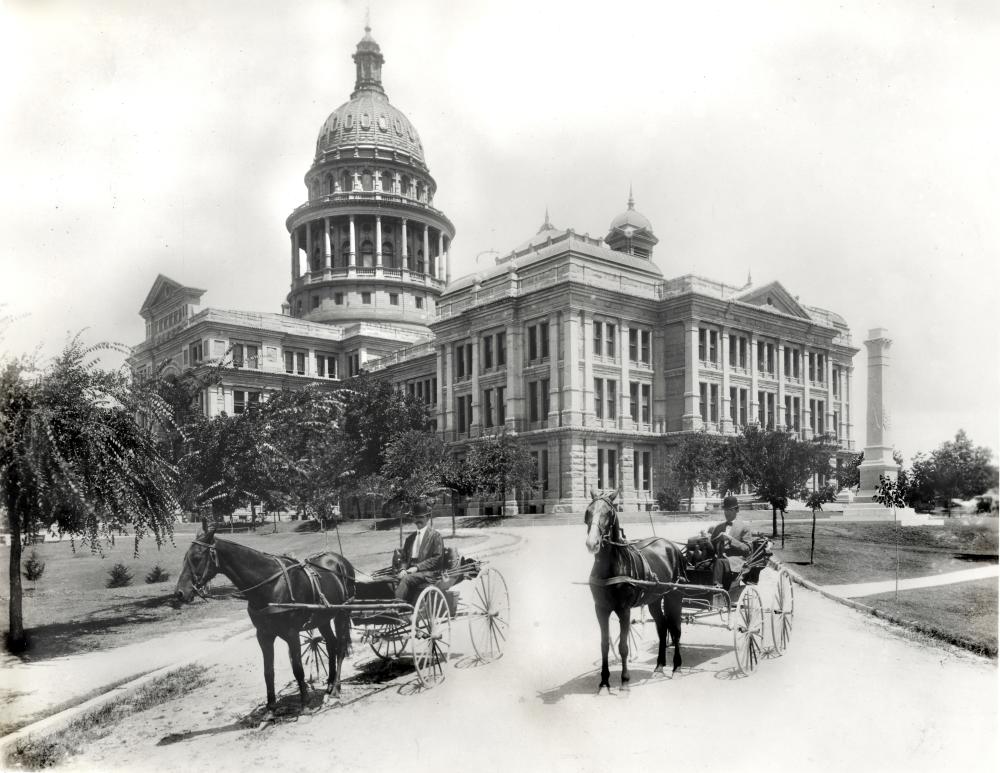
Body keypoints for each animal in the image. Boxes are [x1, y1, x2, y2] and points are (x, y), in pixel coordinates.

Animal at [175, 520, 356, 716]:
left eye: (196, 557)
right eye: (184, 557)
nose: (180, 593)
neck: (271, 584)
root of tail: (339, 560)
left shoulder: (292, 634)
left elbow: (298, 669)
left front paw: (305, 703)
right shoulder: (263, 635)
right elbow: (268, 671)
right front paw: (270, 708)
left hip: (342, 613)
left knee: (340, 647)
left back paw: (336, 688)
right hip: (323, 617)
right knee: (331, 644)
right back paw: (330, 684)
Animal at [584, 486, 684, 692]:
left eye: (609, 513)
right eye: (588, 512)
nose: (592, 543)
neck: (611, 564)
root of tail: (671, 545)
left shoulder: (624, 610)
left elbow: (623, 646)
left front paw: (624, 682)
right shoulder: (600, 609)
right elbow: (604, 645)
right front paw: (604, 682)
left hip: (674, 596)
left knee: (675, 629)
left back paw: (676, 667)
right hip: (654, 598)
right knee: (662, 627)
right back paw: (659, 666)